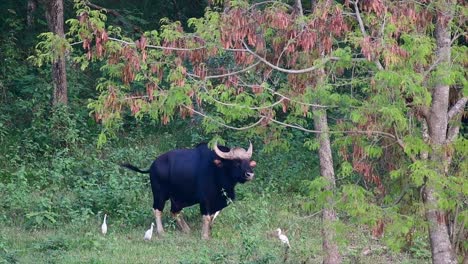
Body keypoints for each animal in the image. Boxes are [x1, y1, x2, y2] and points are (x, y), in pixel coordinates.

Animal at [121, 142, 256, 239]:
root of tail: (152, 166)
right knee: (157, 210)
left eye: (248, 161)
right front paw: (204, 236)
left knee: (174, 211)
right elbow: (207, 217)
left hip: (176, 198)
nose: (250, 174)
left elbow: (213, 216)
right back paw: (161, 232)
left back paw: (186, 229)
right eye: (236, 162)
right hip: (159, 194)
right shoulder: (205, 200)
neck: (217, 171)